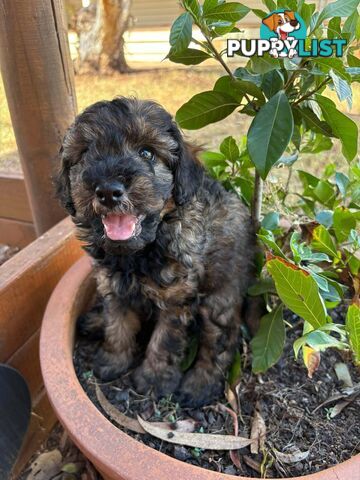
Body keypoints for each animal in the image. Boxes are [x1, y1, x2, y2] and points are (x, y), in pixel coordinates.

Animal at [56, 98, 258, 408]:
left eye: (147, 153)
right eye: (87, 153)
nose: (108, 191)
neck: (139, 253)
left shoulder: (175, 298)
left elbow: (164, 340)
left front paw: (153, 380)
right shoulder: (113, 285)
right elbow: (117, 324)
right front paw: (112, 360)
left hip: (219, 297)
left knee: (221, 340)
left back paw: (199, 385)